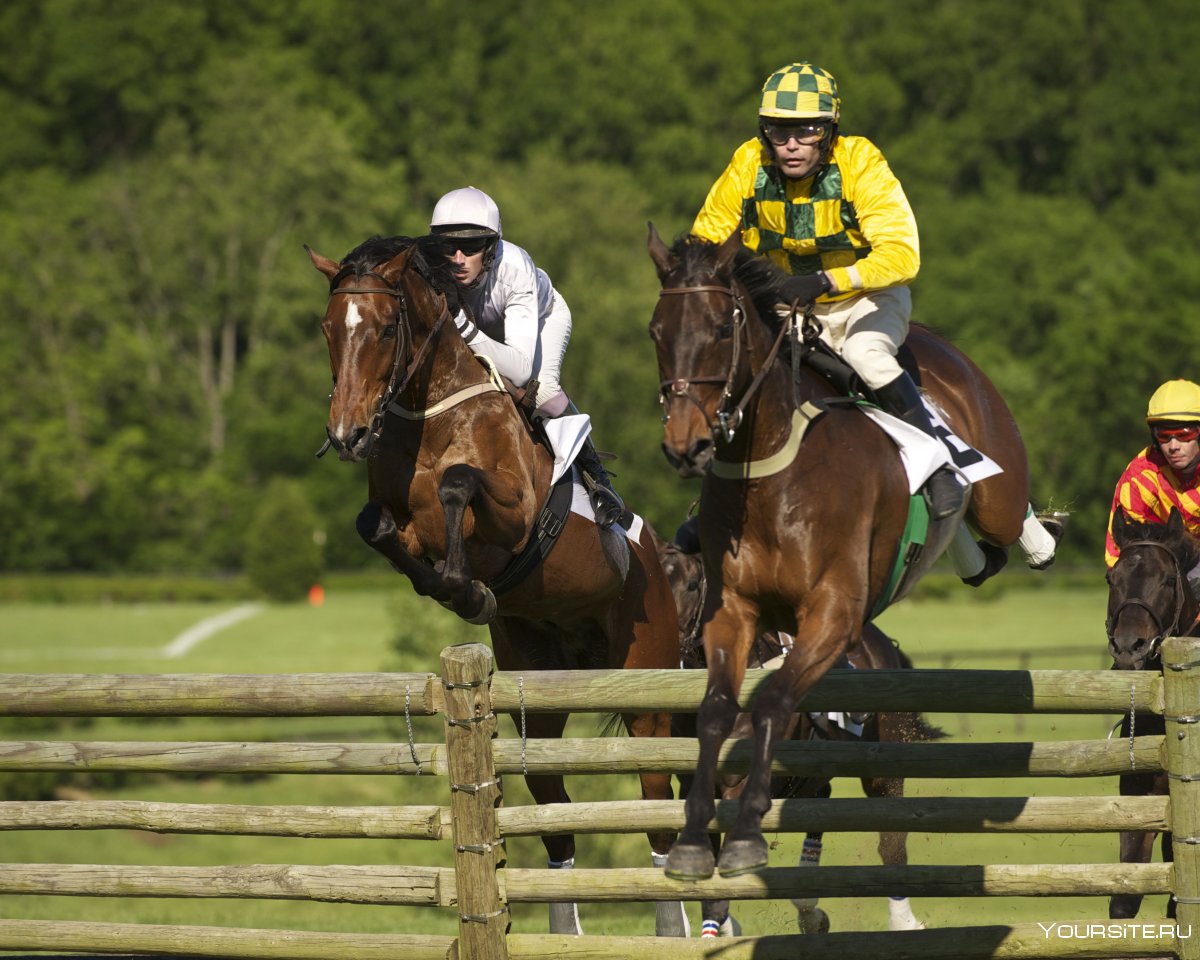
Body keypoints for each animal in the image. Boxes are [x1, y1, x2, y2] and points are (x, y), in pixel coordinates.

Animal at [304, 234, 691, 936]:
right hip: (538, 691)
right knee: (555, 812)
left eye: (383, 328)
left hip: (647, 687)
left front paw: (466, 587)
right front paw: (459, 591)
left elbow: (459, 485)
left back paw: (671, 928)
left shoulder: (514, 510)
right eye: (326, 328)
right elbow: (376, 525)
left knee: (656, 806)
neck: (428, 412)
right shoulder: (399, 523)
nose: (347, 435)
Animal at [652, 225, 1036, 878]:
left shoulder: (832, 613)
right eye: (658, 330)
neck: (771, 472)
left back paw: (1037, 540)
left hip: (998, 490)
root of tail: (934, 342)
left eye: (723, 329)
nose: (687, 443)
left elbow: (772, 702)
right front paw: (692, 841)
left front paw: (748, 833)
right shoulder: (734, 613)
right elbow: (716, 710)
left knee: (1002, 510)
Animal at [657, 528, 945, 936]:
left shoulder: (738, 786)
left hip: (883, 770)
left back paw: (902, 921)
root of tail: (882, 643)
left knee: (891, 843)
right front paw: (719, 930)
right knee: (819, 805)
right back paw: (810, 911)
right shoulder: (694, 785)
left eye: (693, 585)